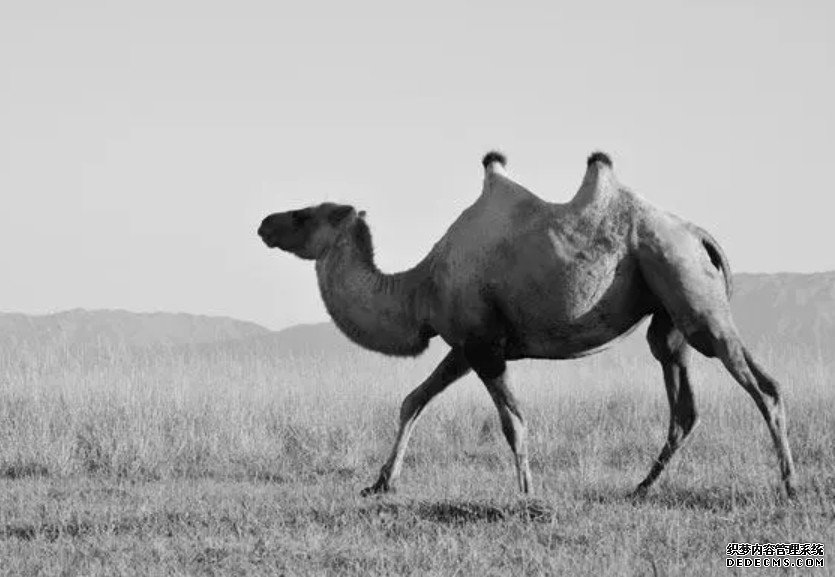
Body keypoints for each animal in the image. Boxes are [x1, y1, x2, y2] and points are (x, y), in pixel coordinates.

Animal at [258, 151, 800, 498]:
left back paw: (790, 485)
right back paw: (641, 488)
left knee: (763, 387)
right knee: (685, 403)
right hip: (669, 314)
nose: (264, 223)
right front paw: (379, 483)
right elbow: (412, 400)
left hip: (690, 293)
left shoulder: (484, 346)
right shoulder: (465, 345)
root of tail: (698, 233)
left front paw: (526, 494)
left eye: (304, 215)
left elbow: (512, 421)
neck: (419, 290)